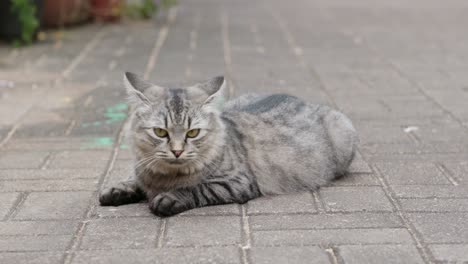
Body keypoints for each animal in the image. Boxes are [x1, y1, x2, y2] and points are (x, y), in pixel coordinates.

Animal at [99, 72, 358, 217]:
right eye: (160, 132)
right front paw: (118, 190)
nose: (177, 151)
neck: (164, 178)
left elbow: (197, 188)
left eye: (193, 133)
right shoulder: (142, 169)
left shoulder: (238, 182)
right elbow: (133, 179)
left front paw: (169, 198)